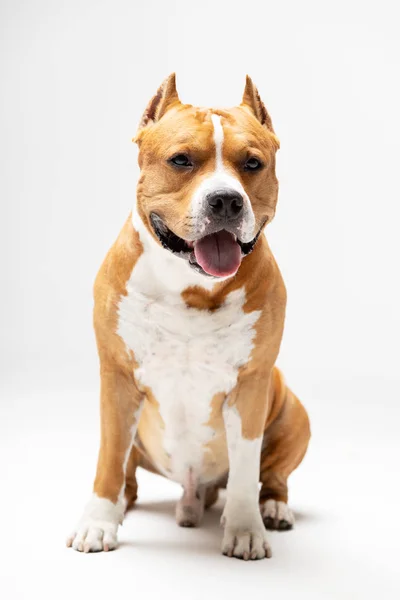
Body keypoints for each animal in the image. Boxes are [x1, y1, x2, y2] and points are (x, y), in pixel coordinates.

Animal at [66, 76, 310, 564]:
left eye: (252, 163)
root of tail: (195, 493)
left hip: (294, 411)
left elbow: (247, 466)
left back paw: (272, 507)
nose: (226, 200)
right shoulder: (117, 379)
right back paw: (127, 503)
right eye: (181, 160)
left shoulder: (250, 386)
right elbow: (109, 458)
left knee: (273, 475)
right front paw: (98, 522)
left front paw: (245, 529)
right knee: (128, 474)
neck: (191, 287)